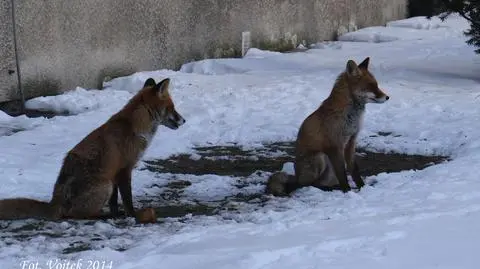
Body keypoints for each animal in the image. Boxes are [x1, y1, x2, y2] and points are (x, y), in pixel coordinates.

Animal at [0, 76, 186, 222]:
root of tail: (55, 201)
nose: (184, 120)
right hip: (105, 184)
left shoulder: (114, 172)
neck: (135, 126)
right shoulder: (124, 170)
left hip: (107, 183)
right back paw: (101, 216)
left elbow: (114, 202)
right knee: (75, 215)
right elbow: (127, 199)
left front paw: (117, 213)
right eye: (172, 107)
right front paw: (132, 215)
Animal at [266, 57, 390, 195]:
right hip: (320, 157)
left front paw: (362, 187)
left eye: (376, 85)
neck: (350, 117)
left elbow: (354, 169)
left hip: (328, 169)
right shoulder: (335, 145)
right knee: (306, 185)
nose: (387, 97)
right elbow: (342, 173)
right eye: (371, 86)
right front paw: (347, 191)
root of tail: (297, 176)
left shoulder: (351, 142)